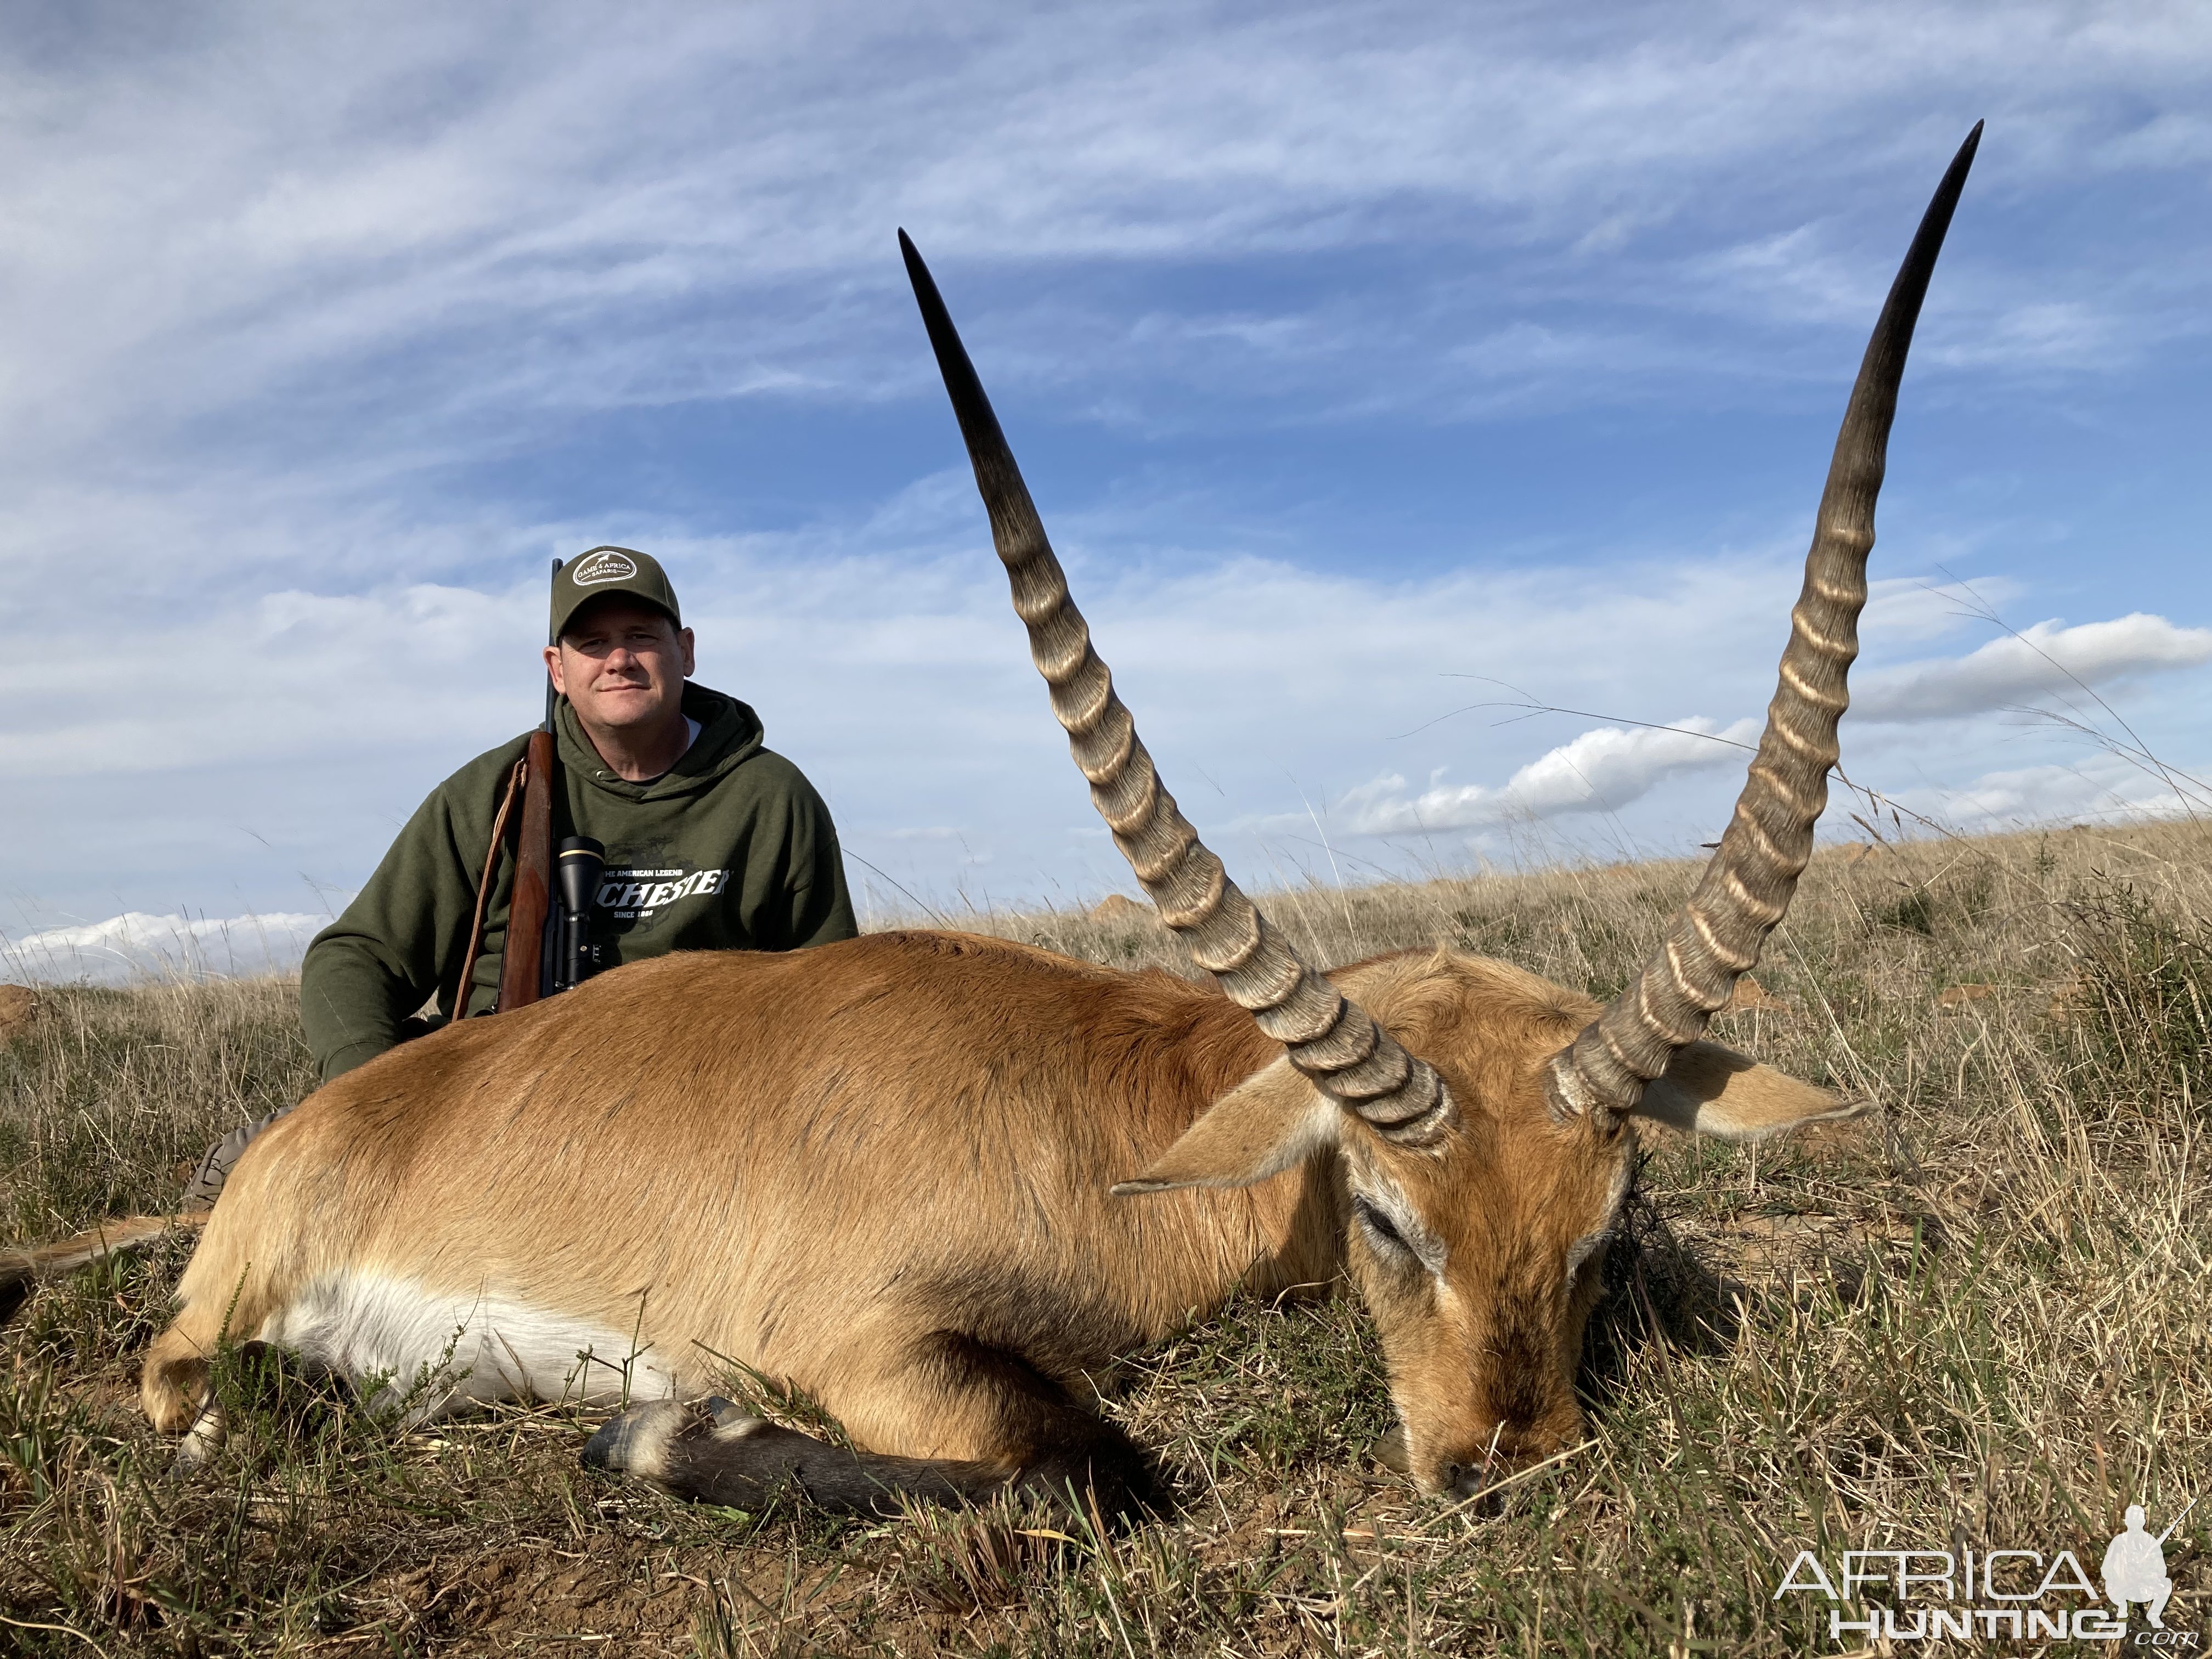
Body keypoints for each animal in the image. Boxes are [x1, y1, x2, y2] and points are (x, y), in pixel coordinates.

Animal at [69, 126, 1982, 1522]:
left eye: (1606, 1225)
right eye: (1386, 1220)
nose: (1507, 1472)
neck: (1106, 1120)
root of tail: (326, 1116)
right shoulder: (871, 1348)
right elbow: (1095, 1469)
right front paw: (662, 1436)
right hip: (222, 1316)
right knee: (175, 1381)